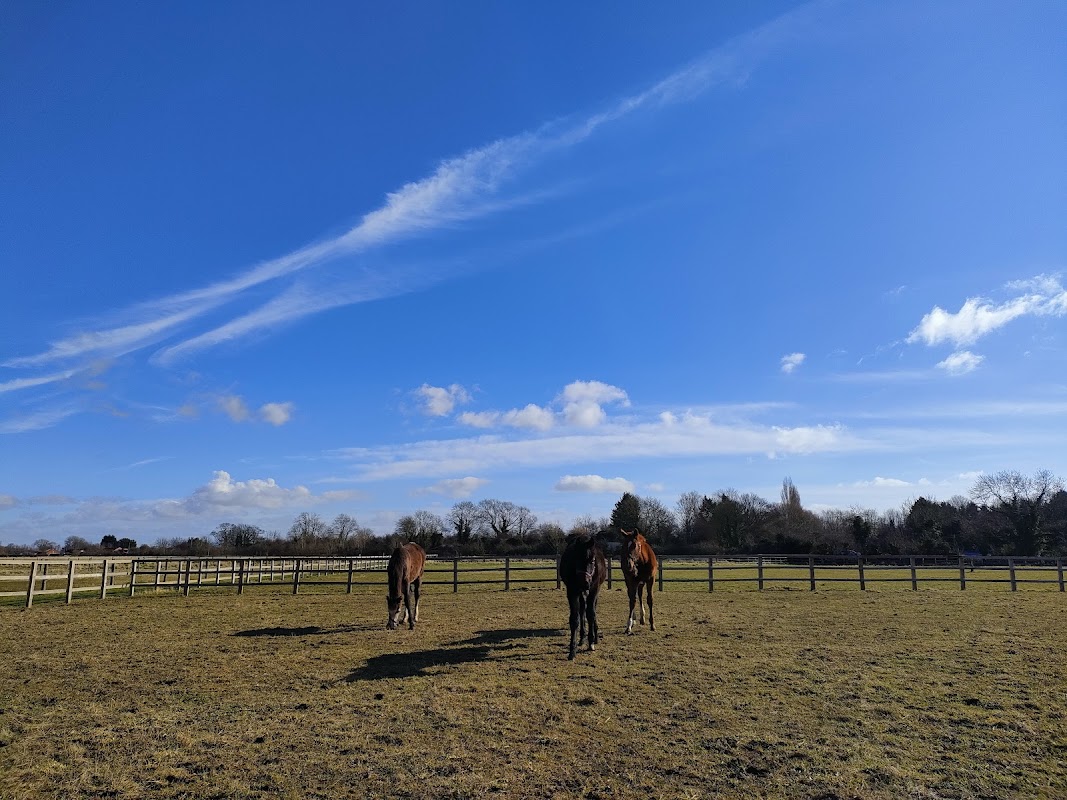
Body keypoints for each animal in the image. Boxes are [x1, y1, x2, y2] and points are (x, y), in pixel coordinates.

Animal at [559, 531, 608, 660]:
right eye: (576, 559)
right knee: (582, 610)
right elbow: (575, 618)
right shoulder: (572, 591)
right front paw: (572, 650)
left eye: (592, 561)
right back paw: (582, 638)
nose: (584, 583)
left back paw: (595, 636)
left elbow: (591, 614)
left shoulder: (594, 589)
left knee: (592, 609)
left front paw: (591, 642)